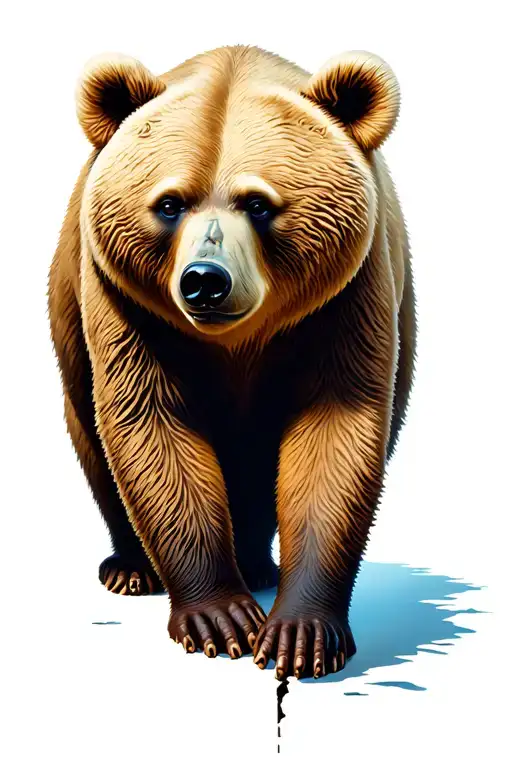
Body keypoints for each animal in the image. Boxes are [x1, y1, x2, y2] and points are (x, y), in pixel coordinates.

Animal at [48, 44, 416, 680]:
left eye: (259, 203)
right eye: (170, 203)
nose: (204, 280)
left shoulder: (349, 294)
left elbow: (334, 432)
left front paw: (301, 632)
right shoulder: (125, 301)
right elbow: (151, 425)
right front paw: (220, 617)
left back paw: (260, 565)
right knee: (93, 443)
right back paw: (131, 568)